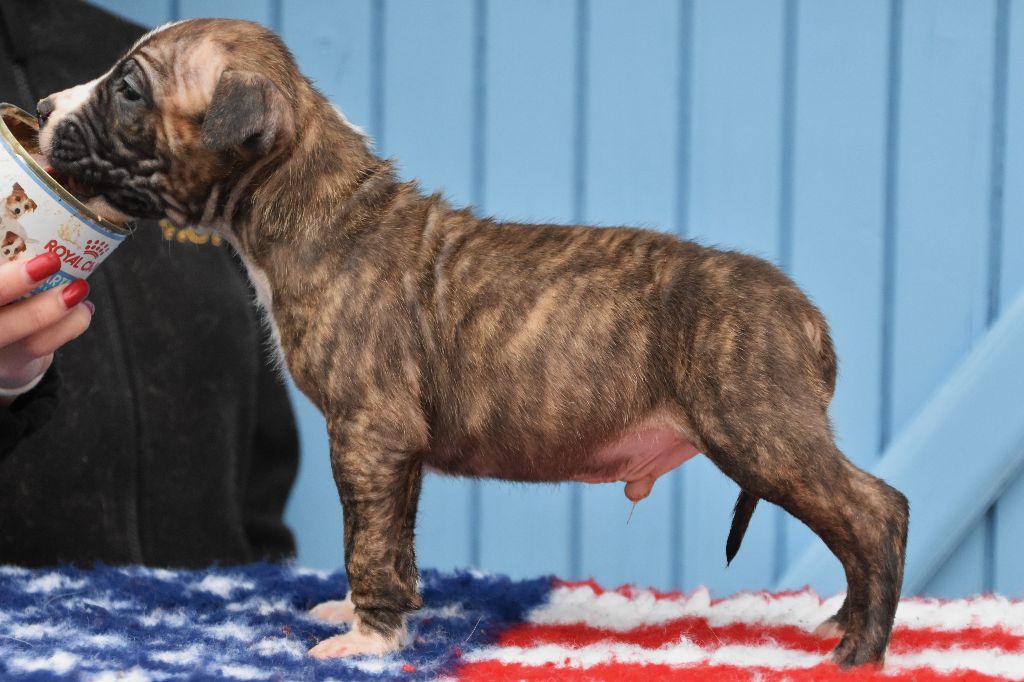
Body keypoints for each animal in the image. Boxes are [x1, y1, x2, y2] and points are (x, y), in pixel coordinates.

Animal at [37, 19, 909, 667]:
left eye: (127, 89)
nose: (41, 105)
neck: (311, 198)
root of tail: (804, 314)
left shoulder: (369, 432)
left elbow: (367, 542)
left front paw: (367, 639)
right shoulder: (393, 451)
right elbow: (386, 538)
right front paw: (367, 615)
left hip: (762, 430)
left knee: (875, 511)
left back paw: (861, 648)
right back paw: (844, 624)